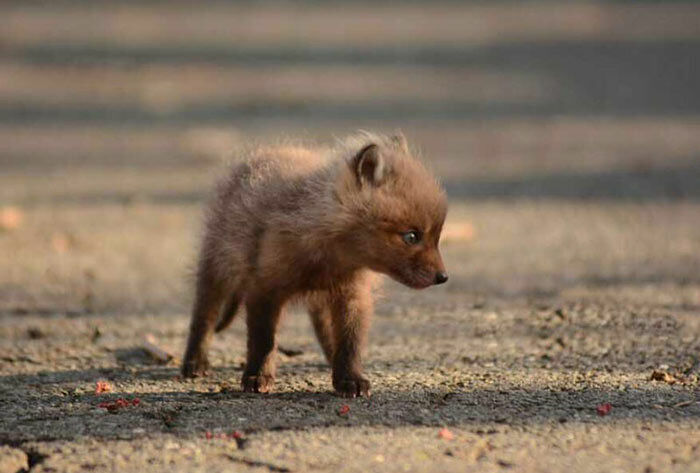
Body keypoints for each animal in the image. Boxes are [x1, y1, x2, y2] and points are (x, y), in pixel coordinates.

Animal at [182, 131, 448, 396]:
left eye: (437, 237)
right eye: (411, 236)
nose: (443, 277)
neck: (330, 258)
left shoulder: (353, 294)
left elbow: (350, 341)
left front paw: (350, 378)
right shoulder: (263, 287)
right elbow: (263, 339)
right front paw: (258, 376)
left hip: (320, 299)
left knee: (326, 331)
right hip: (216, 266)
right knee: (203, 316)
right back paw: (194, 363)